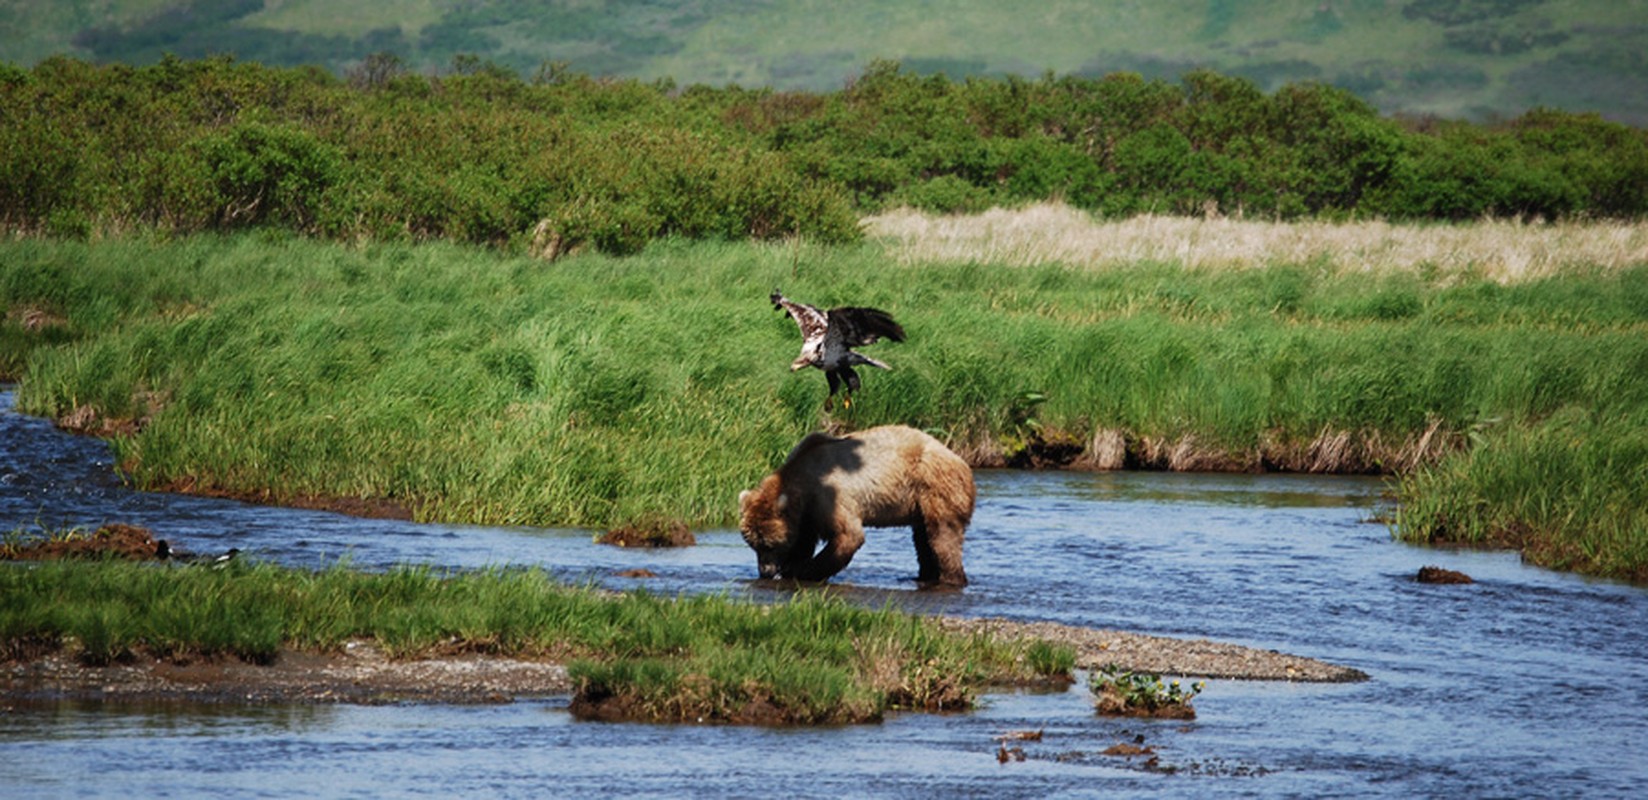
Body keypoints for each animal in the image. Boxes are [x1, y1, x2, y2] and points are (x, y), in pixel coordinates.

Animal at [738, 425, 975, 587]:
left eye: (770, 544)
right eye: (753, 544)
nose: (766, 571)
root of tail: (962, 462)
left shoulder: (829, 496)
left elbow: (848, 535)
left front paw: (802, 570)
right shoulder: (807, 513)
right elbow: (803, 540)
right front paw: (793, 565)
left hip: (936, 487)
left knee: (942, 537)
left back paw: (951, 579)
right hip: (920, 503)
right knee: (923, 540)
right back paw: (924, 576)